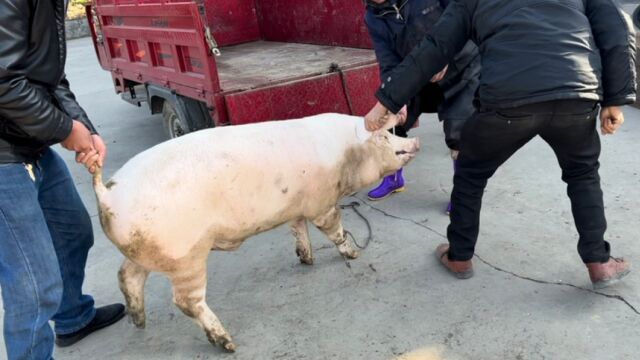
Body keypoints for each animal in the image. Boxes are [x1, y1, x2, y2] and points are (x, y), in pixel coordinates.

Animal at [91, 113, 420, 352]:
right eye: (383, 137)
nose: (415, 141)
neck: (345, 156)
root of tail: (108, 195)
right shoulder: (321, 203)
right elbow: (333, 228)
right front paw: (354, 253)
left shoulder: (294, 207)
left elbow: (297, 230)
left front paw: (307, 260)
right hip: (186, 257)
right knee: (186, 302)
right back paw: (228, 344)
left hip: (144, 251)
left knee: (127, 275)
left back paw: (138, 321)